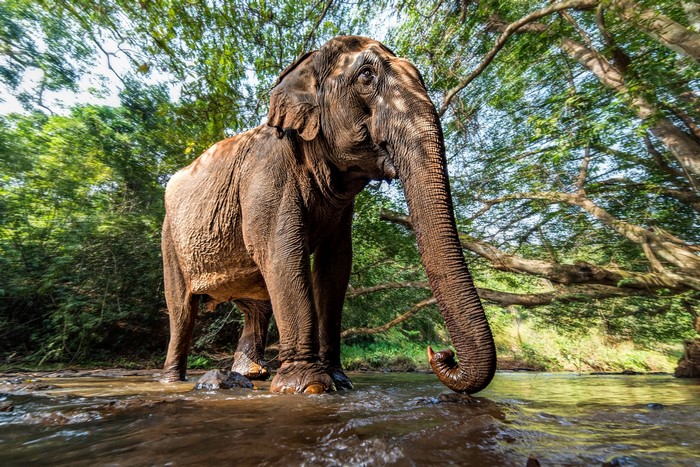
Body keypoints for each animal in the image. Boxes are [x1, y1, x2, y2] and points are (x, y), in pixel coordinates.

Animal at [161, 35, 497, 394]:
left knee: (257, 305)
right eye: (366, 76)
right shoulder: (267, 173)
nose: (441, 353)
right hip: (170, 239)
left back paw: (250, 374)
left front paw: (338, 380)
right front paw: (308, 386)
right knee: (181, 309)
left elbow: (335, 265)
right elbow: (279, 252)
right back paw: (172, 380)